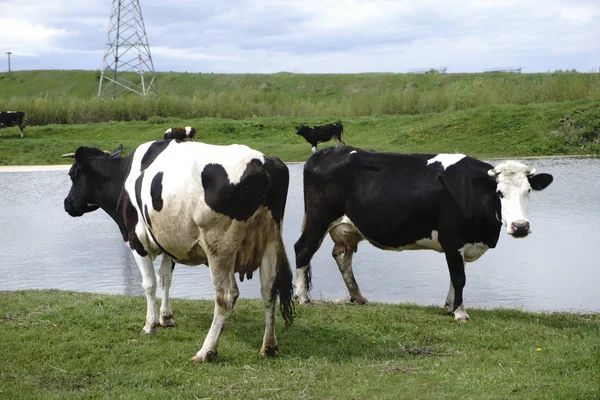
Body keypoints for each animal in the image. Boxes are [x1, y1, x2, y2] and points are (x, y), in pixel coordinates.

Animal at [60, 139, 292, 360]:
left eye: (72, 174)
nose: (67, 203)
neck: (125, 177)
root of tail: (266, 163)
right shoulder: (168, 242)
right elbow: (165, 278)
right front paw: (166, 317)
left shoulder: (137, 240)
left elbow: (149, 283)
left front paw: (150, 324)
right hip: (270, 241)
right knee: (269, 290)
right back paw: (269, 347)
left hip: (219, 246)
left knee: (226, 296)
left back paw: (206, 351)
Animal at [292, 146, 552, 322]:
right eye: (499, 193)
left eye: (528, 191)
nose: (520, 226)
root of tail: (326, 152)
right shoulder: (452, 239)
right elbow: (459, 277)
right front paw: (460, 313)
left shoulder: (461, 244)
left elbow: (455, 276)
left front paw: (450, 307)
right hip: (318, 218)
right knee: (303, 249)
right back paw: (303, 298)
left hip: (346, 227)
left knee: (342, 256)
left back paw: (358, 296)